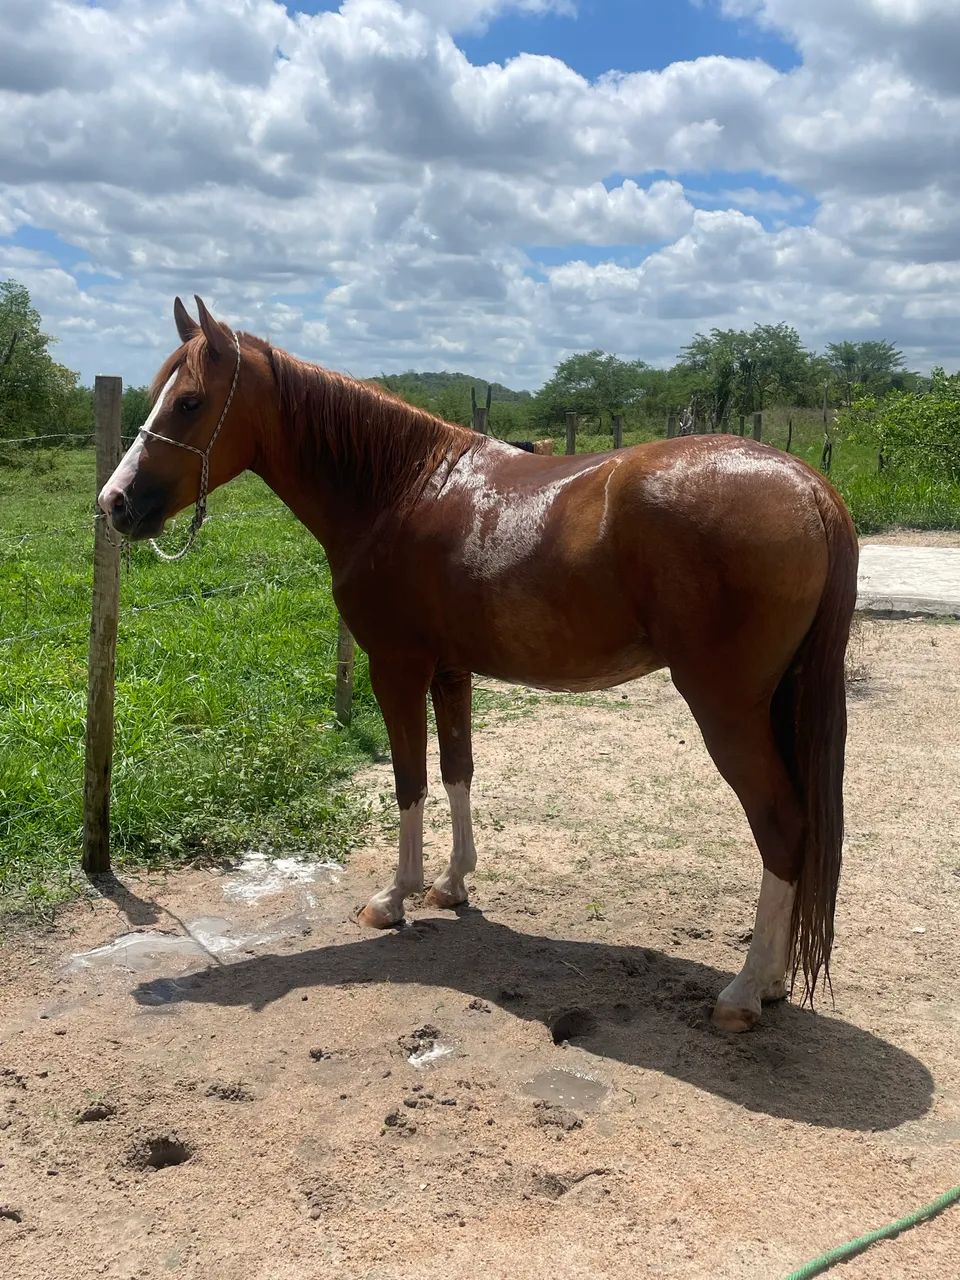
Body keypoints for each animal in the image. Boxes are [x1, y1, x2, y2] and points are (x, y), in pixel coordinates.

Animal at [99, 298, 859, 1033]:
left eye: (190, 402)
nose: (114, 502)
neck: (400, 489)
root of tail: (809, 485)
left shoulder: (396, 668)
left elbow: (409, 779)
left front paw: (395, 897)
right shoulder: (450, 671)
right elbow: (457, 768)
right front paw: (452, 884)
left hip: (726, 706)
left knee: (782, 824)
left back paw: (745, 991)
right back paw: (774, 982)